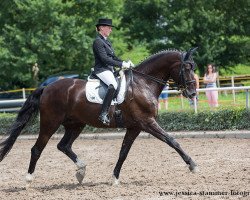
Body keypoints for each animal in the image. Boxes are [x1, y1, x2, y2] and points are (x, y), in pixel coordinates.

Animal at [0, 47, 199, 187]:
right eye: (186, 67)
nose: (192, 93)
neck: (143, 83)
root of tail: (47, 87)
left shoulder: (135, 127)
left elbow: (123, 152)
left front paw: (115, 178)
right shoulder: (147, 122)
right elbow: (172, 141)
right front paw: (193, 165)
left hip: (75, 124)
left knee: (63, 145)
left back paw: (81, 170)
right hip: (50, 123)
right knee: (37, 149)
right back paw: (28, 180)